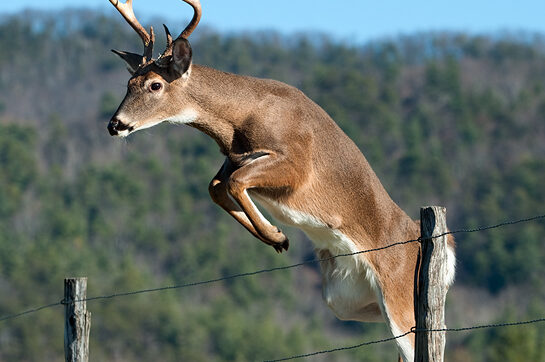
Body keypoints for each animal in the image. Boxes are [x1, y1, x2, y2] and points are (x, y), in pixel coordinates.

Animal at [106, 1, 454, 360]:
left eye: (155, 85)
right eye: (128, 83)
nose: (115, 124)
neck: (241, 122)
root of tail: (447, 252)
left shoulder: (296, 163)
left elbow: (233, 183)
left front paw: (278, 236)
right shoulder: (232, 160)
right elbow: (216, 187)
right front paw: (276, 237)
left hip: (401, 297)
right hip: (346, 300)